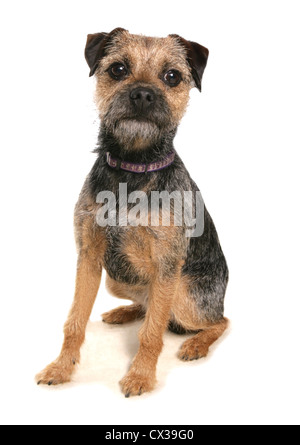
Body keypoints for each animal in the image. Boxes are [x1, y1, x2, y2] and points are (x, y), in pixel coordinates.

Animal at [37, 27, 230, 396]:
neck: (132, 170)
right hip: (117, 280)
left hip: (183, 295)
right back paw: (124, 312)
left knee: (217, 320)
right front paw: (61, 367)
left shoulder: (167, 264)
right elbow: (75, 321)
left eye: (172, 77)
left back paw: (196, 343)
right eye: (118, 69)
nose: (142, 94)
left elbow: (152, 334)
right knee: (148, 306)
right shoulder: (89, 255)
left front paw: (140, 375)